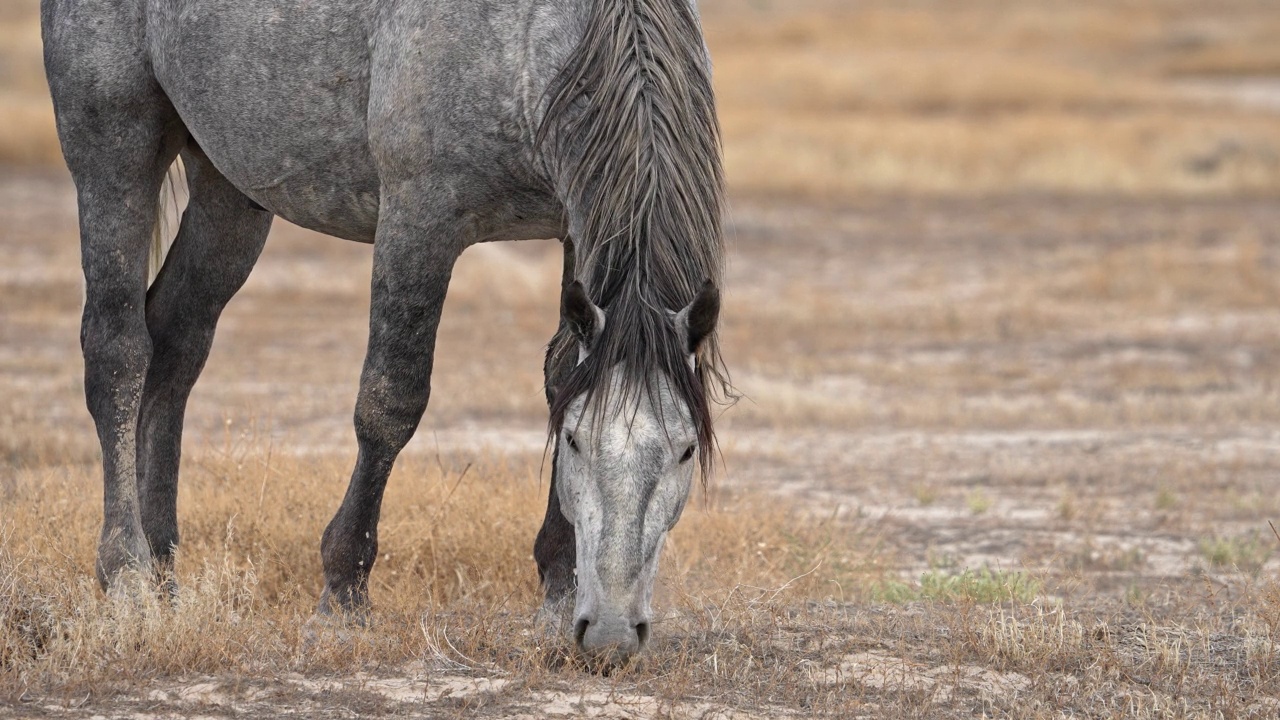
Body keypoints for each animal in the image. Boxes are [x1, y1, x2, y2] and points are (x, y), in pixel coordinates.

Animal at [45, 0, 727, 666]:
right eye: (579, 444)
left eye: (686, 449)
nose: (610, 634)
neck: (537, 36)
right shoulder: (418, 220)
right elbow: (390, 403)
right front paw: (343, 595)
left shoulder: (572, 231)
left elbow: (561, 378)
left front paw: (557, 594)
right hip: (115, 147)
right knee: (118, 351)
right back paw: (127, 576)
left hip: (227, 188)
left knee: (176, 343)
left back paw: (165, 575)